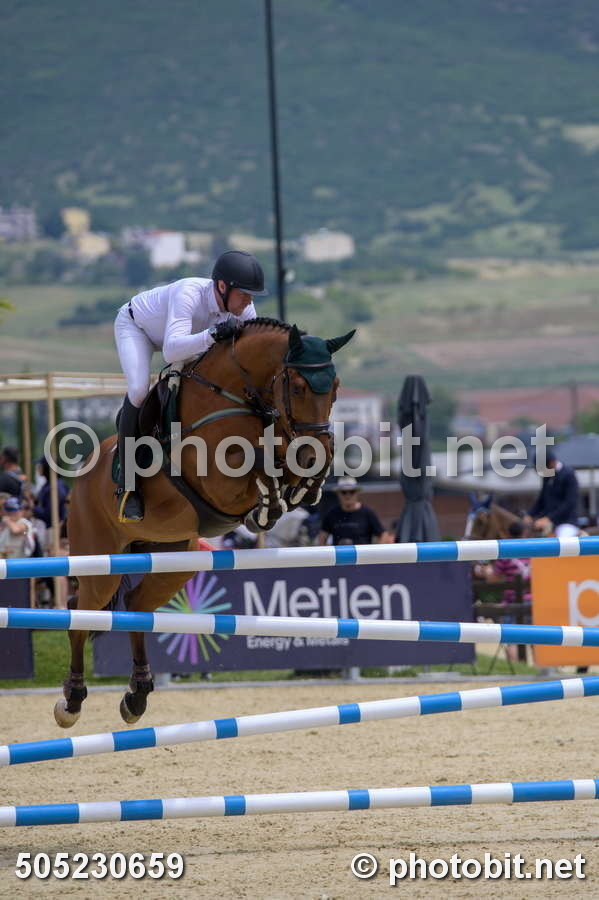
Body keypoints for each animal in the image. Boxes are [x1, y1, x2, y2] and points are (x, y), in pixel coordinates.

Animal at [57, 319, 354, 728]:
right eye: (296, 387)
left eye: (336, 387)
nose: (315, 452)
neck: (238, 397)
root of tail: (83, 474)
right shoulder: (216, 478)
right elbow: (256, 463)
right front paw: (267, 504)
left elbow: (283, 466)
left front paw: (302, 486)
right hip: (99, 559)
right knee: (81, 611)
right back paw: (71, 701)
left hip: (173, 560)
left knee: (135, 605)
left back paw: (137, 695)